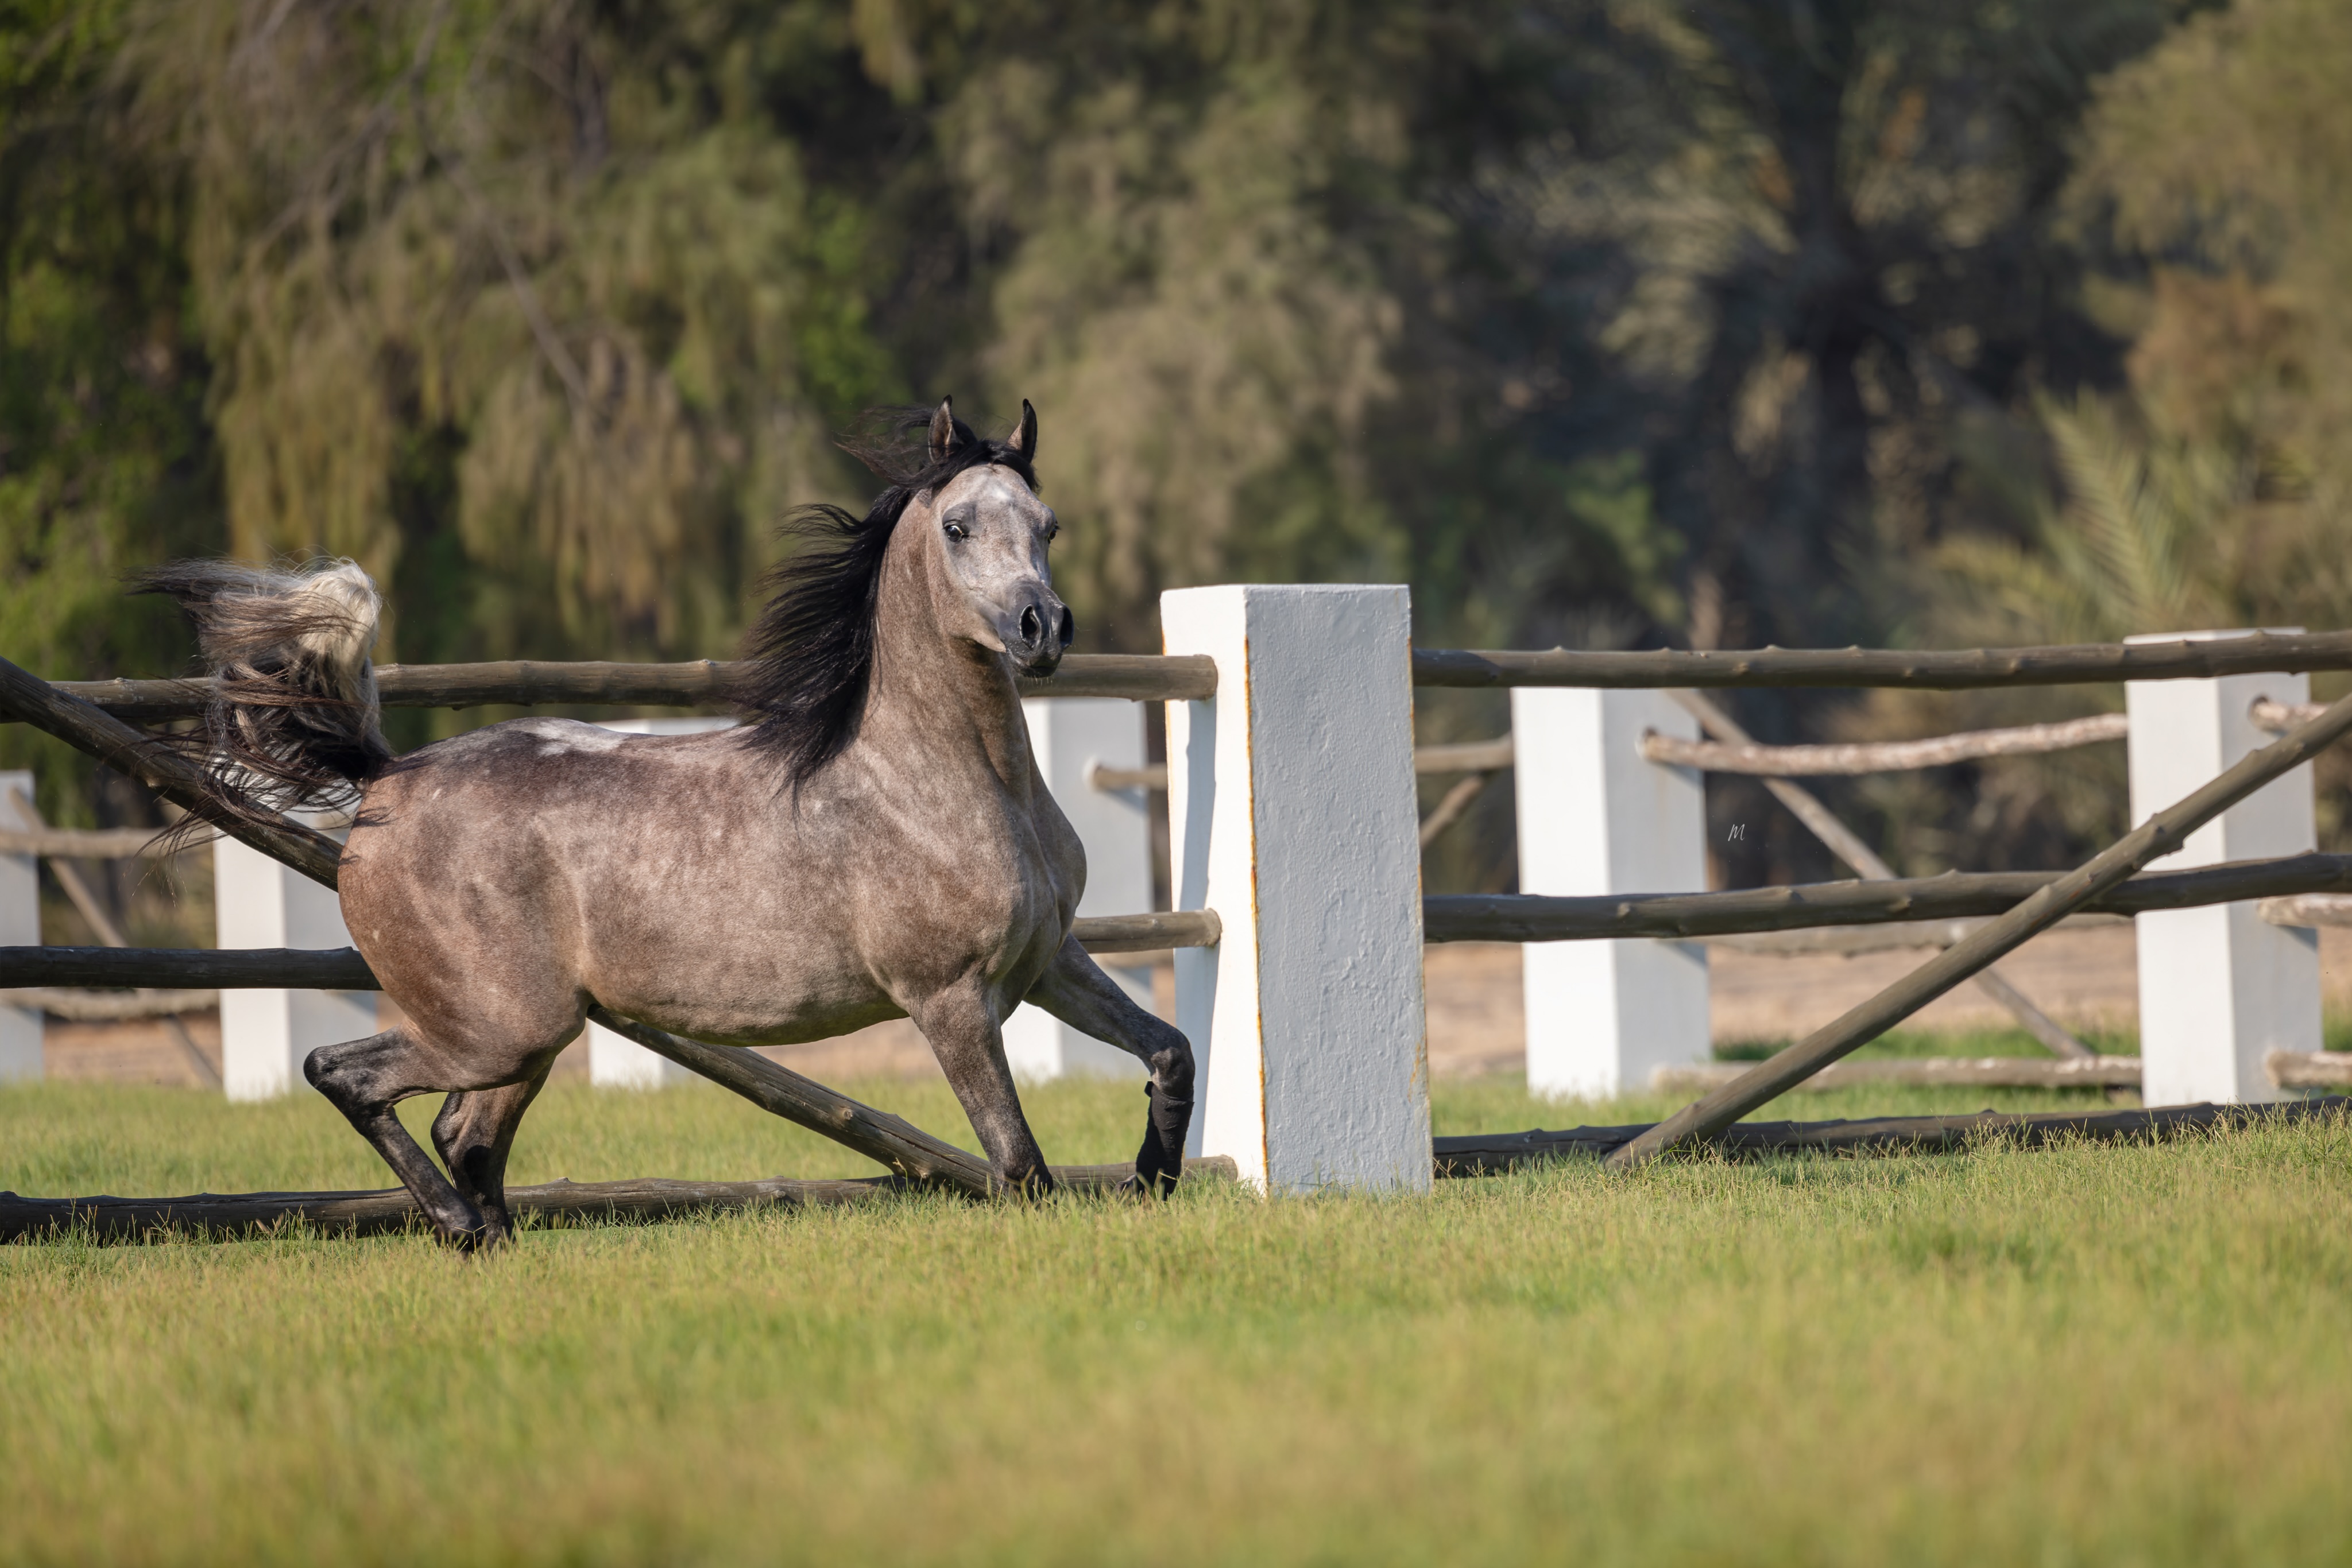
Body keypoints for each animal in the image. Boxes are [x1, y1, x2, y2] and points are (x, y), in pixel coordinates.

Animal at [146, 398, 1195, 1248]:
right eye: (958, 524)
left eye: (1048, 525)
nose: (1041, 627)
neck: (940, 781)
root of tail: (386, 779)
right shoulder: (949, 999)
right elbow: (1019, 1163)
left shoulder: (1050, 961)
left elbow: (1169, 1050)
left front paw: (1155, 1179)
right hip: (497, 1028)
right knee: (345, 1073)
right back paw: (457, 1228)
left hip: (522, 1036)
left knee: (464, 1134)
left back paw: (496, 1248)